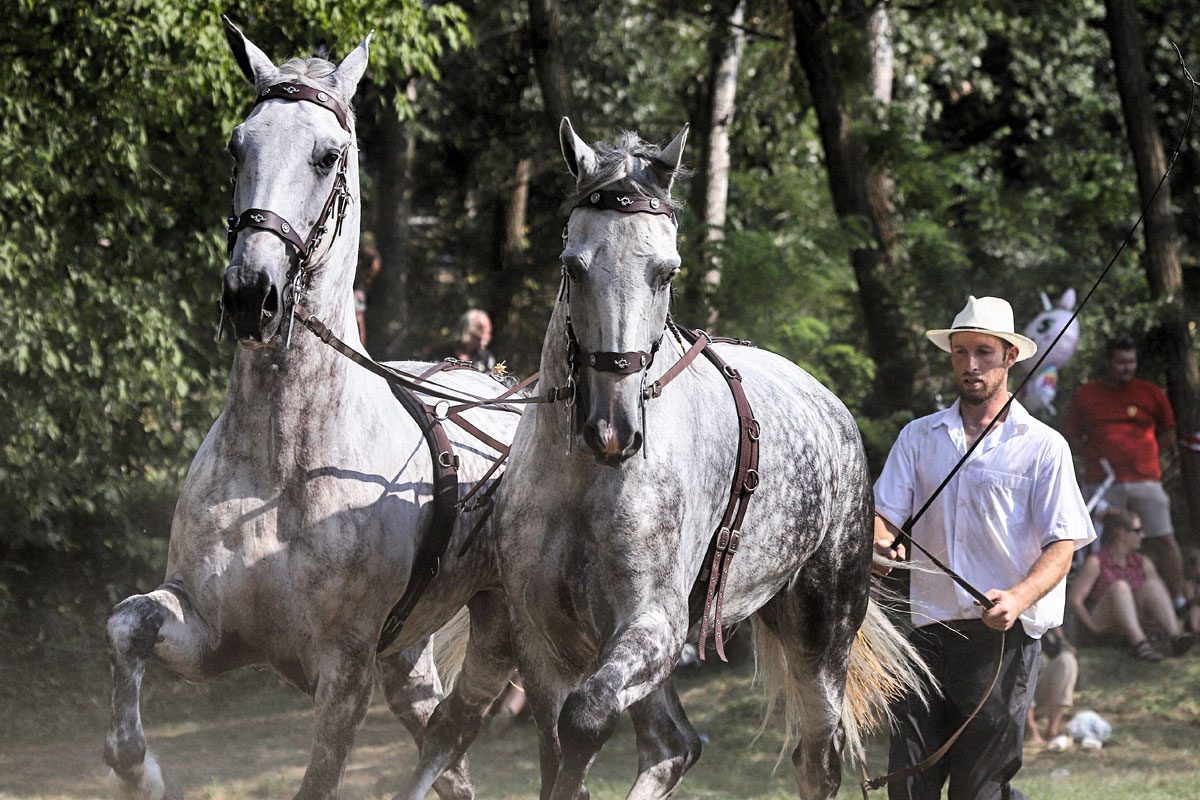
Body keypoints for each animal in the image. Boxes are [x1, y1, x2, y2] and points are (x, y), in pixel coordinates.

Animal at [103, 19, 520, 800]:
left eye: (328, 156)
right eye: (236, 146)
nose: (251, 295)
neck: (281, 465)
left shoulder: (345, 673)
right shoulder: (209, 631)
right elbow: (125, 628)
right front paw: (140, 769)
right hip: (408, 660)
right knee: (449, 759)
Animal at [480, 120, 930, 800]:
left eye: (666, 272)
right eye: (572, 266)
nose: (612, 429)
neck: (584, 481)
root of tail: (832, 410)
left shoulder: (653, 625)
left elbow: (584, 722)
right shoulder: (542, 641)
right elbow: (560, 753)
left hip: (821, 635)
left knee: (817, 759)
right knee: (674, 745)